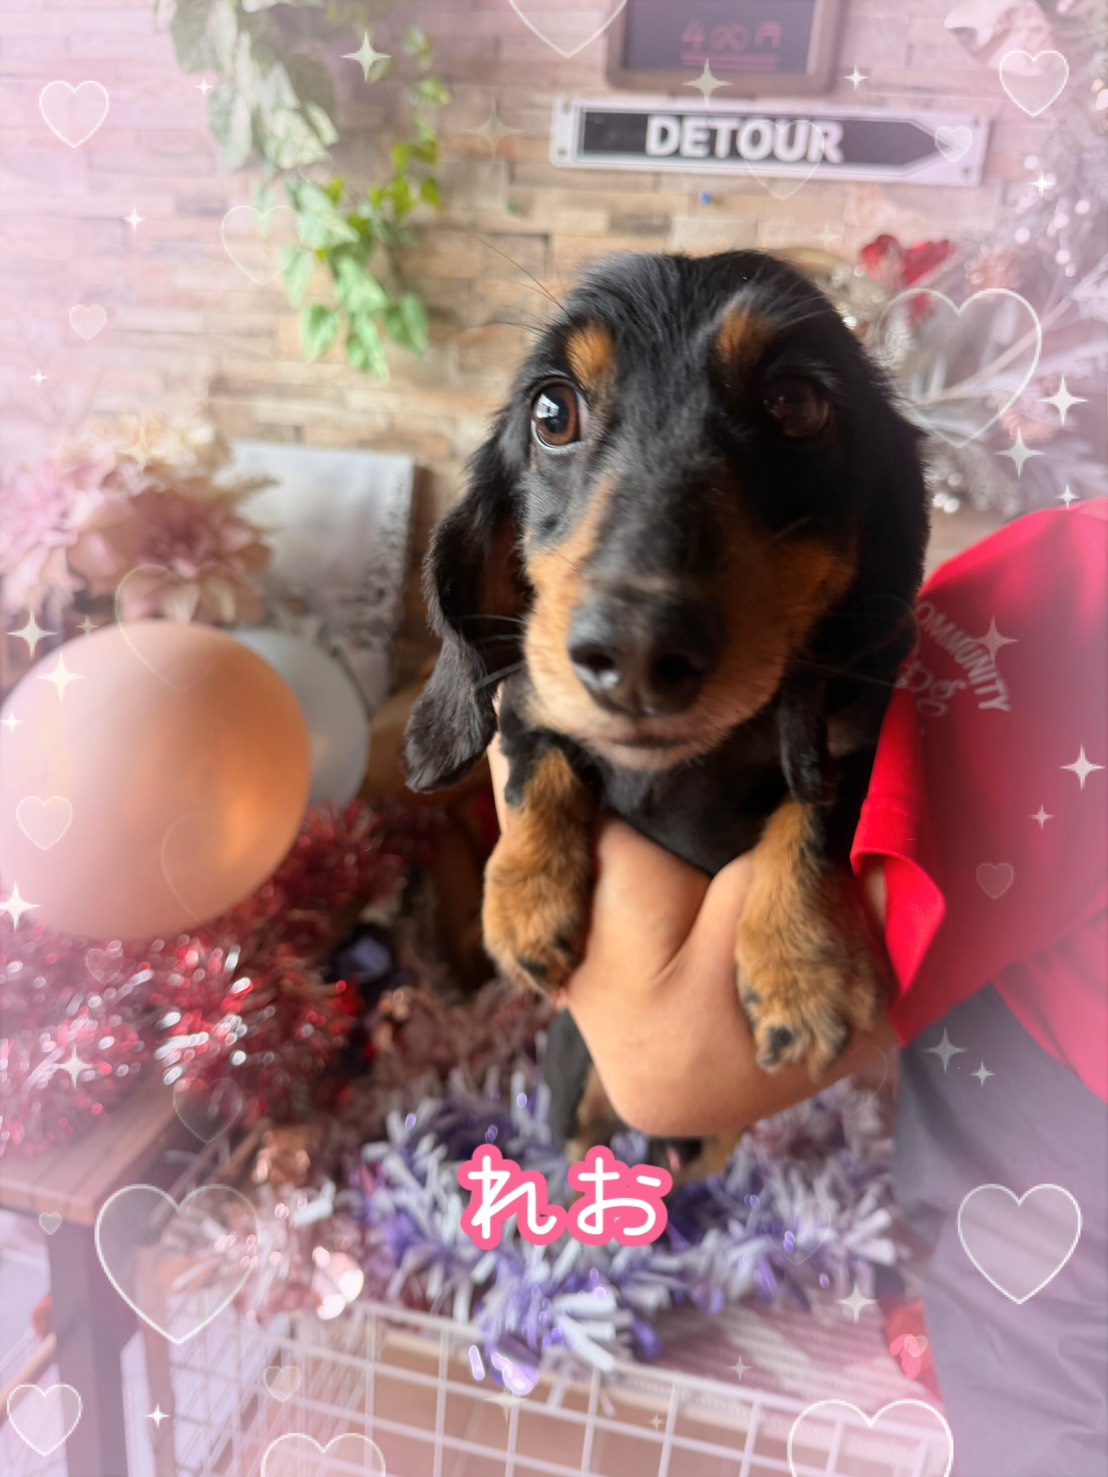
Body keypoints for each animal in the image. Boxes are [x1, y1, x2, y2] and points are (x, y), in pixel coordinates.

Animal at [404, 250, 928, 1149]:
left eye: (797, 402)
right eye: (552, 411)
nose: (638, 651)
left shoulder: (848, 738)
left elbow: (814, 813)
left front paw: (804, 967)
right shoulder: (534, 699)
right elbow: (536, 762)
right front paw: (525, 902)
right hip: (571, 1074)